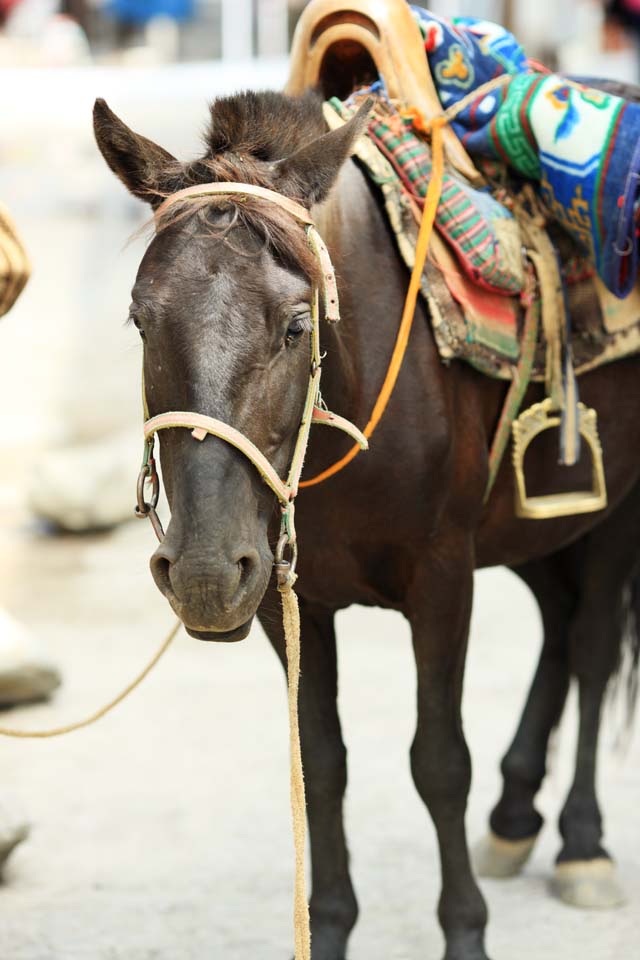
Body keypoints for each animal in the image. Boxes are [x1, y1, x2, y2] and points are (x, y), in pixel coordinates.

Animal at [94, 92, 640, 960]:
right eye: (140, 322)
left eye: (295, 323)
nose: (204, 576)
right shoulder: (287, 594)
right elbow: (321, 763)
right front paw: (330, 927)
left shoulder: (443, 577)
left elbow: (440, 761)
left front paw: (465, 931)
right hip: (530, 524)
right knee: (559, 624)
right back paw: (517, 816)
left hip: (613, 503)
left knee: (589, 644)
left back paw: (583, 845)